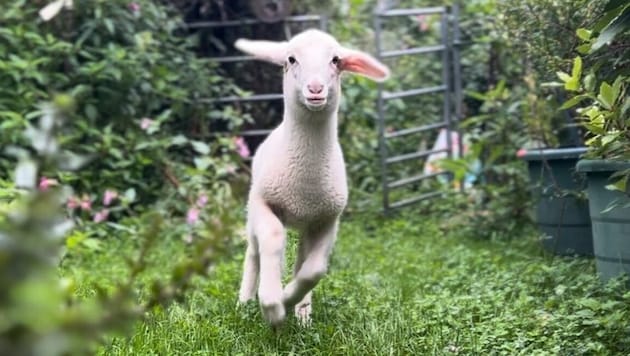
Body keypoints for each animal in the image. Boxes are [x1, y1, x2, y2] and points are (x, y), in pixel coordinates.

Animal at [235, 29, 388, 326]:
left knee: (301, 259)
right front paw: (271, 304)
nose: (316, 89)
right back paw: (245, 300)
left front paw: (287, 300)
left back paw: (302, 311)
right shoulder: (264, 202)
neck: (305, 184)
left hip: (308, 223)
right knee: (254, 252)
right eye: (291, 59)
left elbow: (314, 269)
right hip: (252, 210)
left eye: (336, 59)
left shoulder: (328, 218)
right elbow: (273, 238)